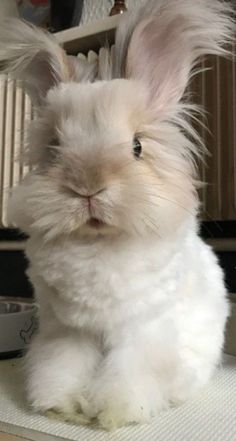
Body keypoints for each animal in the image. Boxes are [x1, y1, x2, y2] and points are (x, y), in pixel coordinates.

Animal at [1, 0, 234, 428]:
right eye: (54, 149)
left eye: (137, 147)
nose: (88, 186)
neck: (98, 244)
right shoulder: (69, 334)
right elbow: (62, 365)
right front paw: (63, 405)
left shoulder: (141, 334)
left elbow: (129, 373)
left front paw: (115, 412)